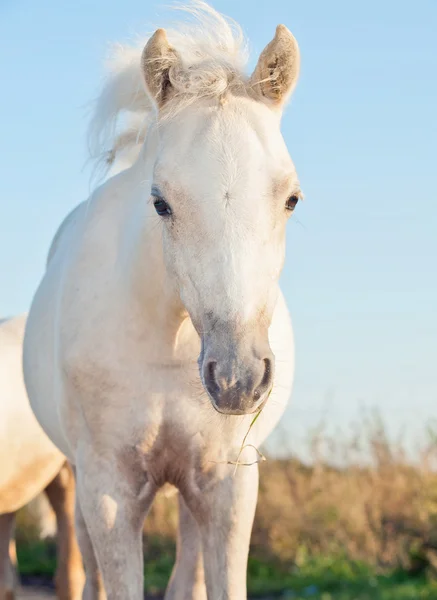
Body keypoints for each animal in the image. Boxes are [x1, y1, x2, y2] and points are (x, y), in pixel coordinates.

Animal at [23, 2, 300, 596]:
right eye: (161, 203)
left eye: (291, 198)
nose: (238, 378)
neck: (170, 346)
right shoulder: (108, 490)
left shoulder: (228, 486)